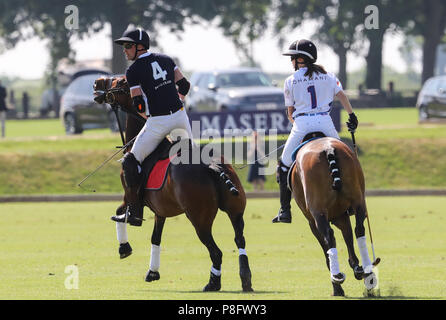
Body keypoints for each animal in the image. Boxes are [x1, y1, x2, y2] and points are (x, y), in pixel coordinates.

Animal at [92, 75, 253, 292]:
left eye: (117, 82)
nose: (96, 83)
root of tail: (212, 165)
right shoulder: (160, 210)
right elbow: (155, 238)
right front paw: (152, 272)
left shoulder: (130, 197)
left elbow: (120, 213)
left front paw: (124, 248)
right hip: (235, 211)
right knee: (239, 239)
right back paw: (245, 279)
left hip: (199, 219)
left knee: (216, 251)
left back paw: (213, 283)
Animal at [288, 132, 378, 296]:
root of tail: (328, 148)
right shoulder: (341, 215)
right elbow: (348, 237)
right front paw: (357, 268)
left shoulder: (313, 222)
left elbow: (327, 249)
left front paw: (337, 287)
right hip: (358, 201)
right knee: (359, 229)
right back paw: (367, 272)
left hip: (318, 211)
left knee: (328, 236)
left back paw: (337, 277)